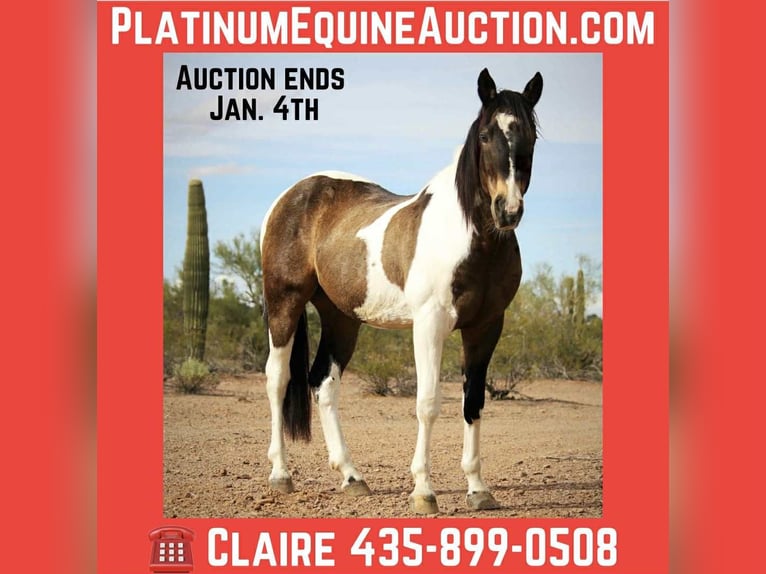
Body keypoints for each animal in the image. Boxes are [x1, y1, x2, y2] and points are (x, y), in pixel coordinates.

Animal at [260, 68, 543, 514]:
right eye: (484, 135)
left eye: (530, 135)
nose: (507, 210)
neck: (471, 237)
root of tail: (291, 196)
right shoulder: (429, 324)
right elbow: (428, 404)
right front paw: (424, 491)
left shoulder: (486, 328)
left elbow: (473, 401)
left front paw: (478, 489)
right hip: (283, 303)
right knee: (278, 379)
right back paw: (281, 475)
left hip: (342, 319)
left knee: (323, 384)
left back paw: (352, 477)